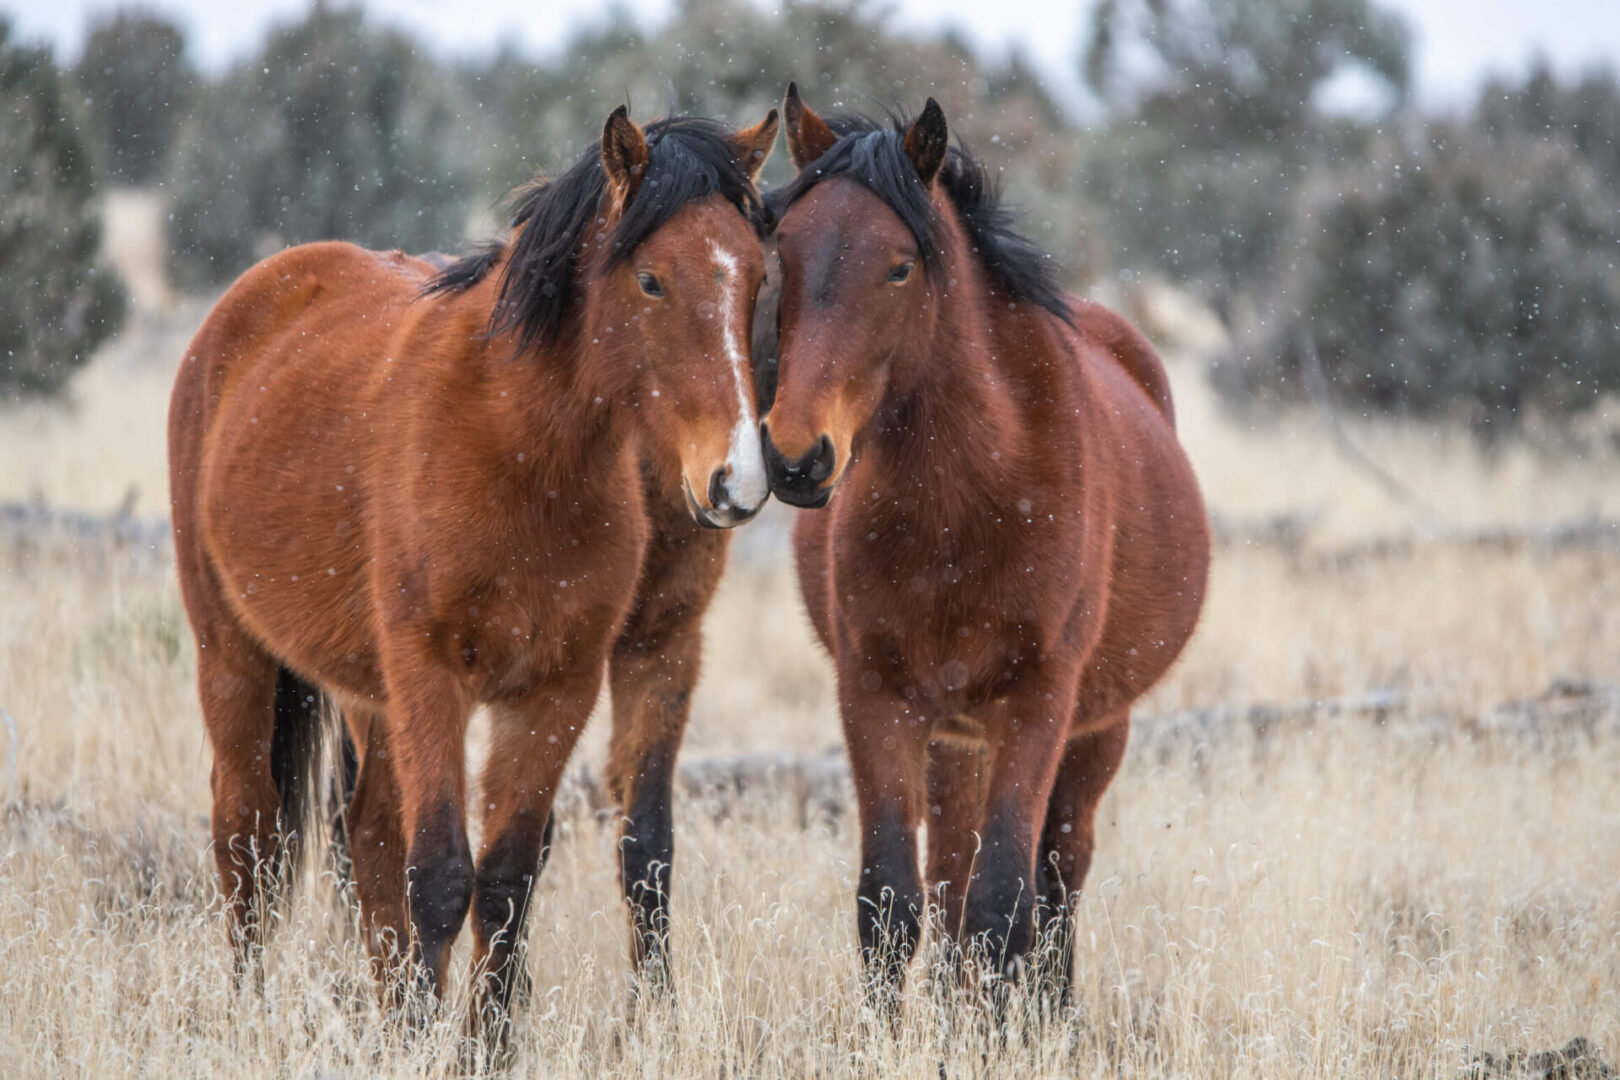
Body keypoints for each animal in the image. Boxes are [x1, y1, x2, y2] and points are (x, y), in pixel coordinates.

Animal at [172, 105, 784, 1042]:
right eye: (651, 281)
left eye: (756, 277)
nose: (738, 480)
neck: (518, 449)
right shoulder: (433, 678)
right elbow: (440, 876)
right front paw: (435, 1041)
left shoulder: (559, 688)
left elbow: (506, 879)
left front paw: (480, 1042)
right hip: (233, 657)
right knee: (248, 835)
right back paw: (251, 1012)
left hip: (367, 692)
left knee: (367, 839)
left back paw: (390, 1013)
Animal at [764, 86, 1211, 1016]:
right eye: (782, 249)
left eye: (900, 266)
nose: (796, 456)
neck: (963, 507)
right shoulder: (876, 696)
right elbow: (892, 903)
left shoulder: (1037, 703)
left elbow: (1006, 906)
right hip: (952, 738)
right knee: (949, 876)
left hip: (1092, 733)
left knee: (1059, 874)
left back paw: (1050, 1015)